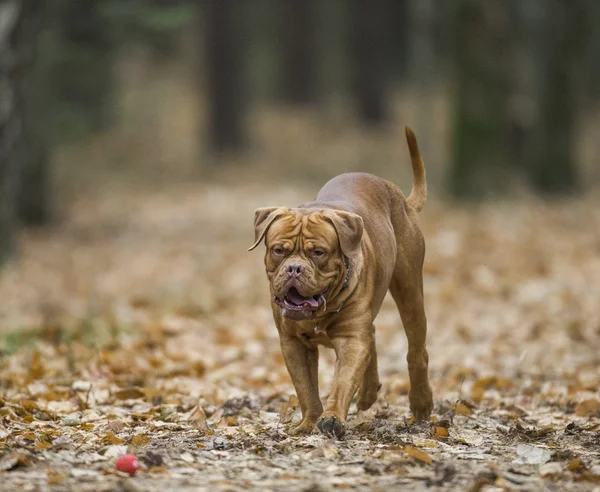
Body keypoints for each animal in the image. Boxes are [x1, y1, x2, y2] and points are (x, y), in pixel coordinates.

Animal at [248, 128, 432, 438]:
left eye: (318, 253)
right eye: (279, 250)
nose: (294, 268)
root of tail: (398, 195)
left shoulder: (351, 339)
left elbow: (343, 380)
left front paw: (333, 418)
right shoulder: (293, 343)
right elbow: (306, 389)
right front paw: (309, 422)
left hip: (410, 294)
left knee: (416, 352)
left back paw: (421, 403)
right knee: (373, 338)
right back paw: (368, 392)